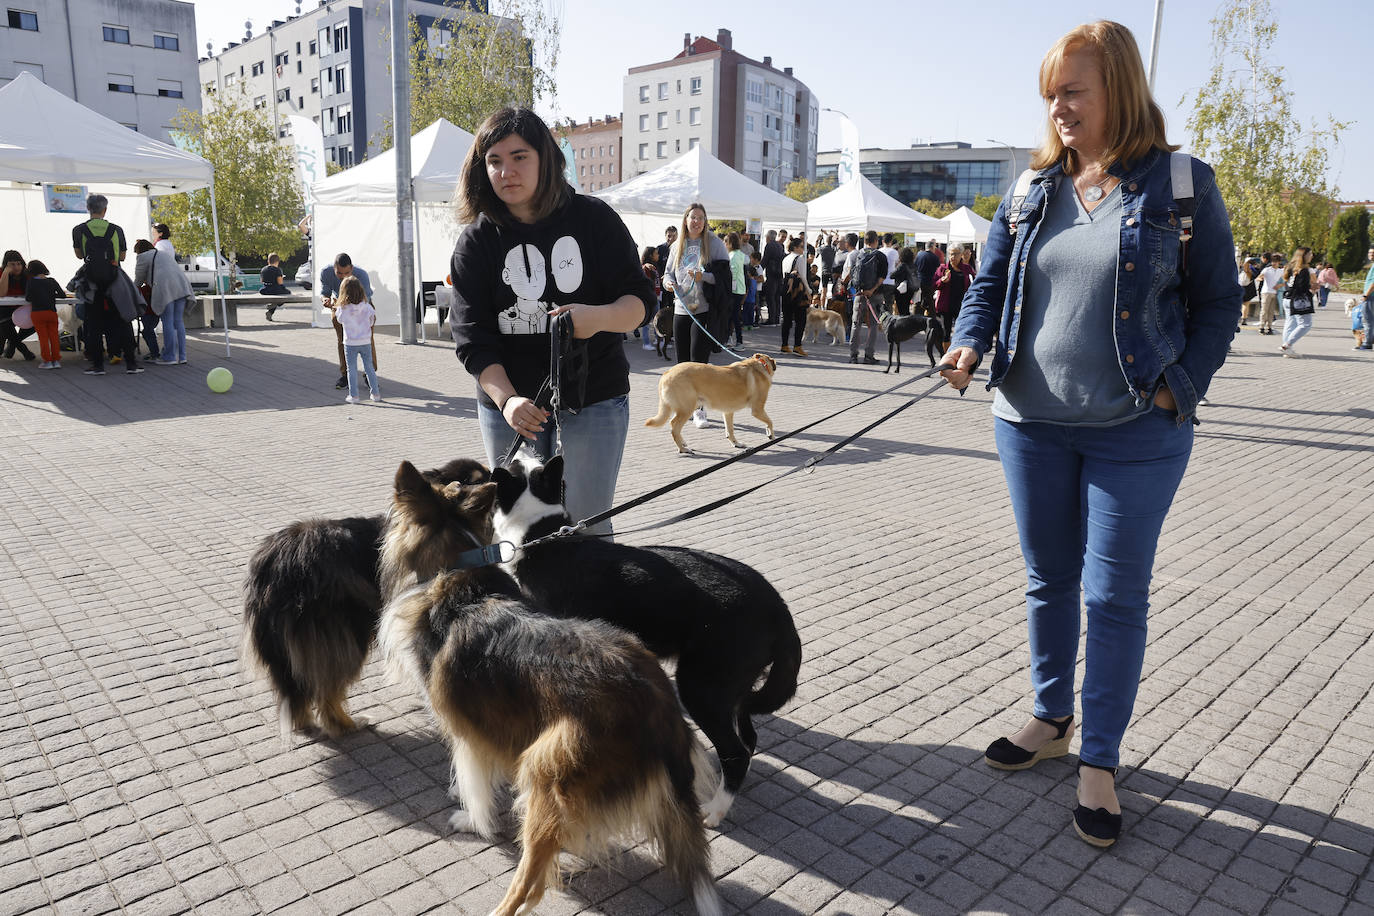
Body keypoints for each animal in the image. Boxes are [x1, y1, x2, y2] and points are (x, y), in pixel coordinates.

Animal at [376, 461, 719, 916]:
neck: (454, 568)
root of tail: (658, 706)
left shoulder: (466, 730)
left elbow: (474, 781)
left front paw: (471, 819)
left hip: (547, 771)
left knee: (531, 881)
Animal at [491, 455, 802, 829]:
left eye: (514, 465)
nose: (517, 453)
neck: (544, 538)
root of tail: (780, 611)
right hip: (733, 690)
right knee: (748, 739)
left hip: (702, 687)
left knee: (736, 751)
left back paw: (716, 809)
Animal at [648, 354, 780, 453]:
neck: (759, 364)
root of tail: (667, 373)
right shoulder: (757, 410)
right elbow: (770, 422)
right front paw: (771, 435)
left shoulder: (728, 412)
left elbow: (730, 430)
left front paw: (736, 444)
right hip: (687, 409)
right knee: (674, 427)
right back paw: (683, 449)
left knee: (674, 425)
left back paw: (683, 443)